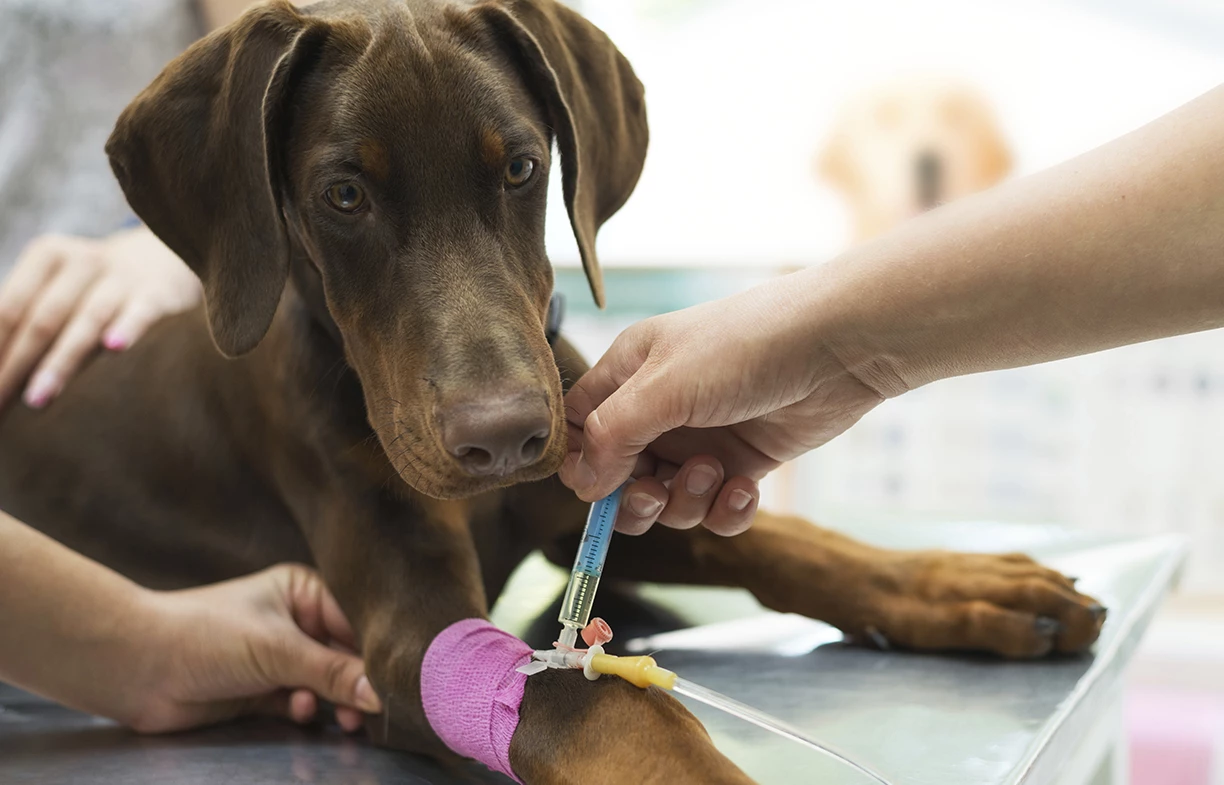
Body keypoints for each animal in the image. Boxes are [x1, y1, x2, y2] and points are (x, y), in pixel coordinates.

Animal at [0, 3, 1106, 778]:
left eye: (522, 167)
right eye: (342, 195)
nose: (504, 439)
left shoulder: (589, 490)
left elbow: (786, 542)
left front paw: (959, 581)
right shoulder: (408, 629)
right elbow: (596, 697)